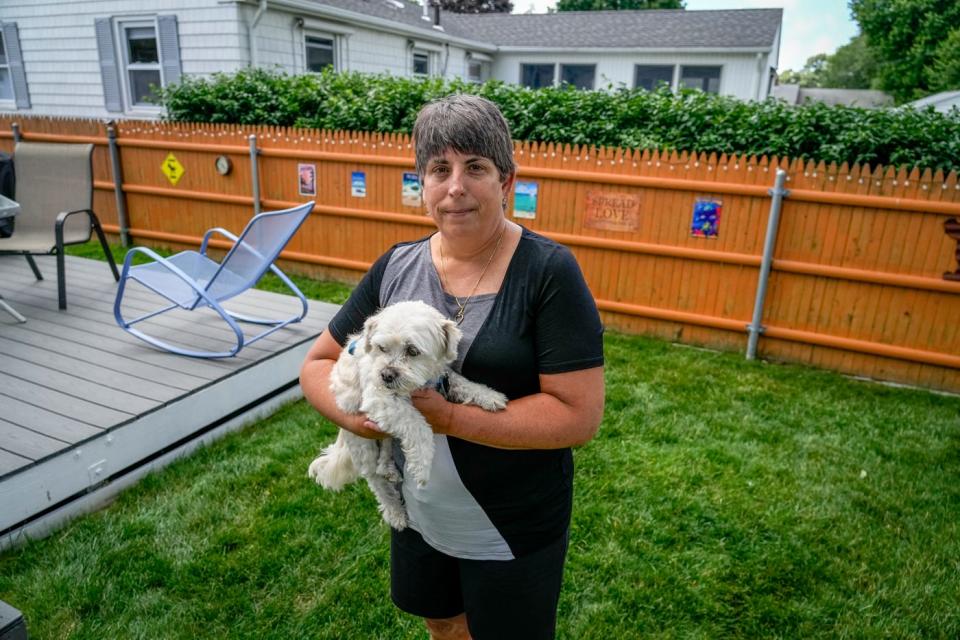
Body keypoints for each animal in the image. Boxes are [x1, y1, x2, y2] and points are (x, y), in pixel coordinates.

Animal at [310, 300, 510, 528]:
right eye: (382, 348)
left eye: (412, 350)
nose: (386, 375)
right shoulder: (380, 399)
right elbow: (417, 425)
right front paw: (422, 466)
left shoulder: (441, 375)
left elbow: (459, 381)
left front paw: (488, 395)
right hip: (361, 441)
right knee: (374, 479)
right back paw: (394, 511)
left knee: (385, 451)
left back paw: (388, 468)